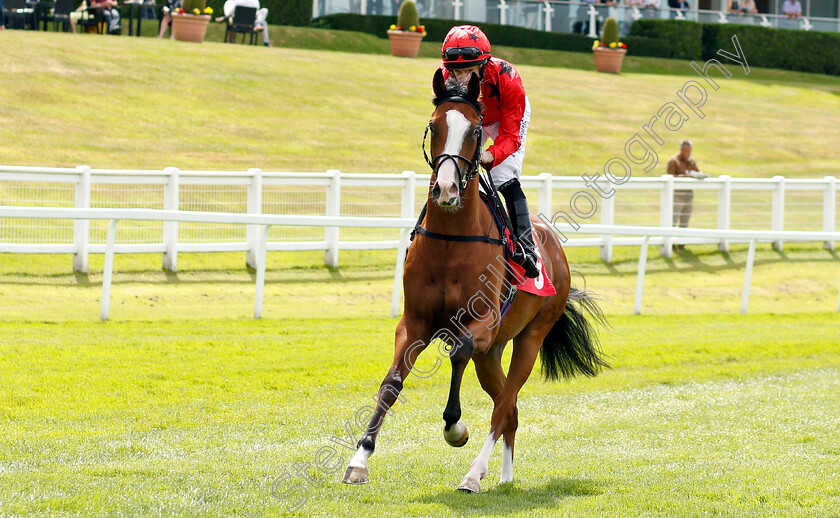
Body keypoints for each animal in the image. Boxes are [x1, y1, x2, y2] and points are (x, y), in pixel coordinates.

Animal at [342, 70, 612, 496]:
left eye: (475, 130)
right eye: (434, 126)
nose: (446, 189)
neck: (451, 239)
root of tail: (554, 247)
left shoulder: (480, 324)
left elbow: (458, 352)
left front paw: (455, 427)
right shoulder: (415, 322)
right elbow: (391, 383)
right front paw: (359, 461)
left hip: (530, 336)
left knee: (504, 406)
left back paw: (474, 473)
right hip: (493, 353)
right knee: (510, 407)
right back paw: (502, 475)